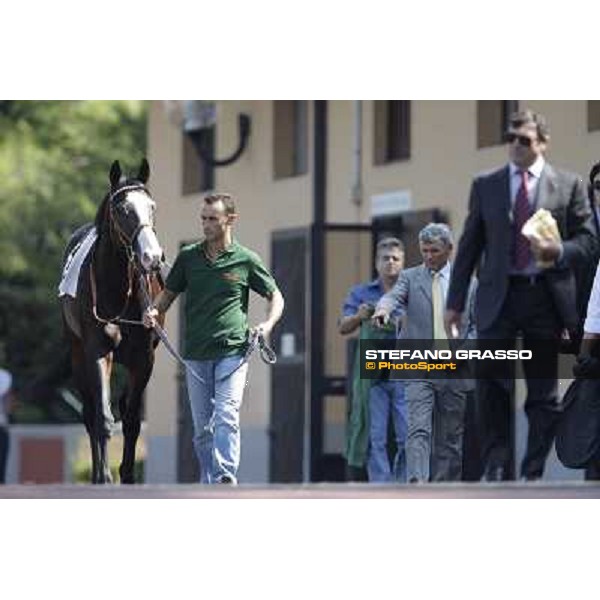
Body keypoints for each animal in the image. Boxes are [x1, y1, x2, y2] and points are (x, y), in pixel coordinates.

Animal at [60, 158, 164, 482]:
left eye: (151, 206)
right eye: (122, 210)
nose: (152, 257)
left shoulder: (143, 358)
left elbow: (131, 421)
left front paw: (128, 476)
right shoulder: (97, 350)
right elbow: (103, 418)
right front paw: (104, 478)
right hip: (76, 352)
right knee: (90, 413)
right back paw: (97, 475)